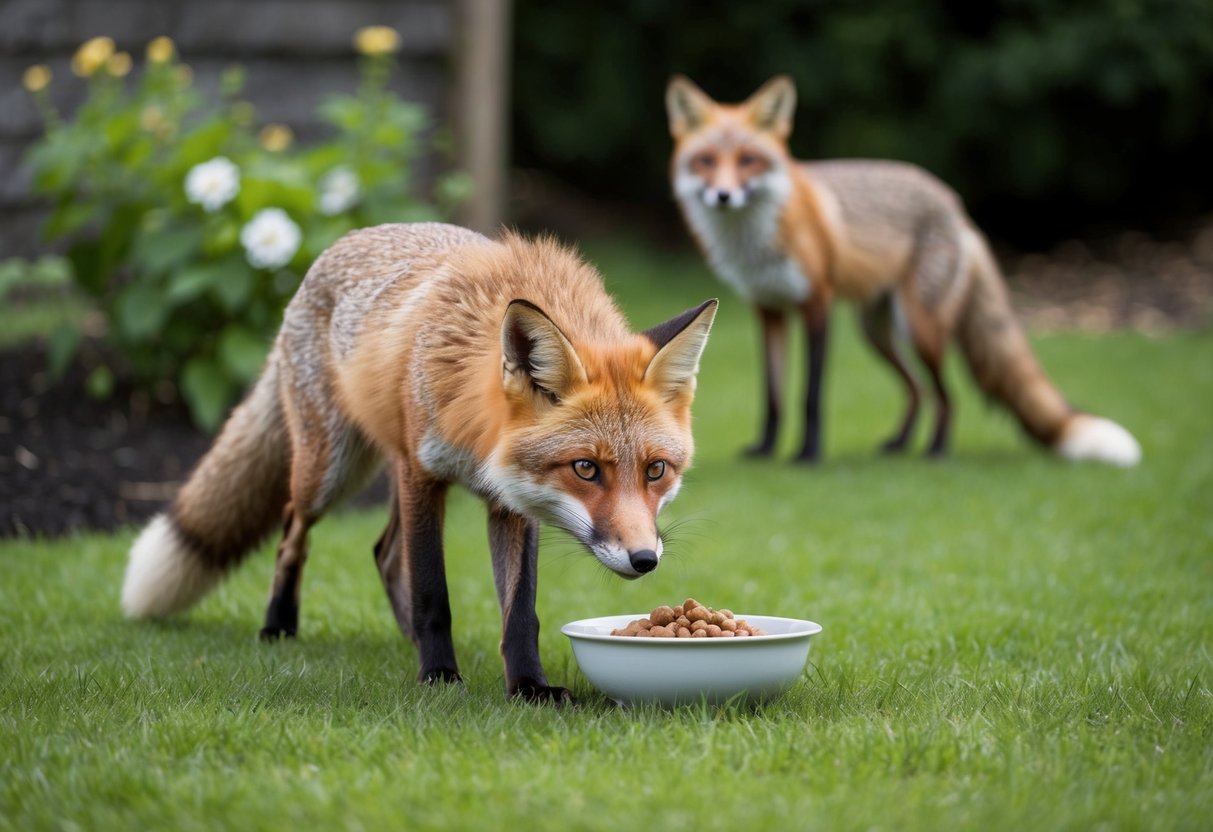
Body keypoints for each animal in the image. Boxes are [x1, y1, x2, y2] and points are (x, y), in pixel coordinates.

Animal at [120, 222, 717, 702]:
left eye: (656, 470)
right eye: (586, 469)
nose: (645, 560)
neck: (480, 441)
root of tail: (340, 243)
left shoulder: (513, 500)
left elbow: (520, 612)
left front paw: (528, 686)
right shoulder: (421, 473)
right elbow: (434, 591)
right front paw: (438, 676)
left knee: (384, 552)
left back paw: (406, 637)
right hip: (329, 471)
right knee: (293, 531)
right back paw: (279, 626)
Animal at [666, 74, 1140, 467]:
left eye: (748, 159)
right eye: (706, 161)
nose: (723, 196)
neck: (753, 241)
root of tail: (955, 205)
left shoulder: (817, 302)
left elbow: (810, 394)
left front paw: (808, 456)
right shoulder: (768, 309)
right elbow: (774, 397)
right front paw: (765, 451)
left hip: (920, 327)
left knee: (947, 395)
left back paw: (936, 450)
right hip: (876, 331)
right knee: (918, 389)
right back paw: (899, 445)